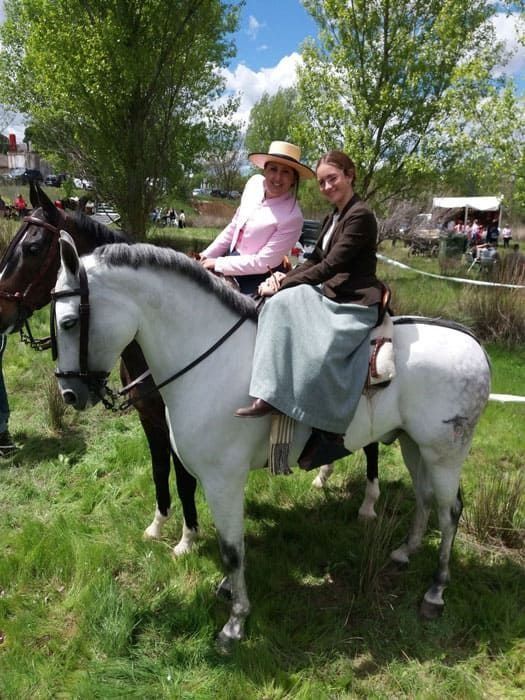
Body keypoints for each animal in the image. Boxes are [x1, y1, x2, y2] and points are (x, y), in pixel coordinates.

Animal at [0, 182, 198, 554]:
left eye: (32, 248)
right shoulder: (149, 417)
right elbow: (159, 469)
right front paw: (157, 526)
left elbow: (184, 478)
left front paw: (187, 538)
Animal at [52, 235, 491, 648]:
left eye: (70, 322)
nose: (70, 394)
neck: (211, 358)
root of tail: (474, 346)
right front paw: (226, 589)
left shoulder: (223, 480)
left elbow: (232, 549)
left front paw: (235, 622)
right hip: (414, 445)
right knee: (424, 498)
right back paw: (404, 552)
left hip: (445, 455)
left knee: (449, 512)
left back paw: (435, 590)